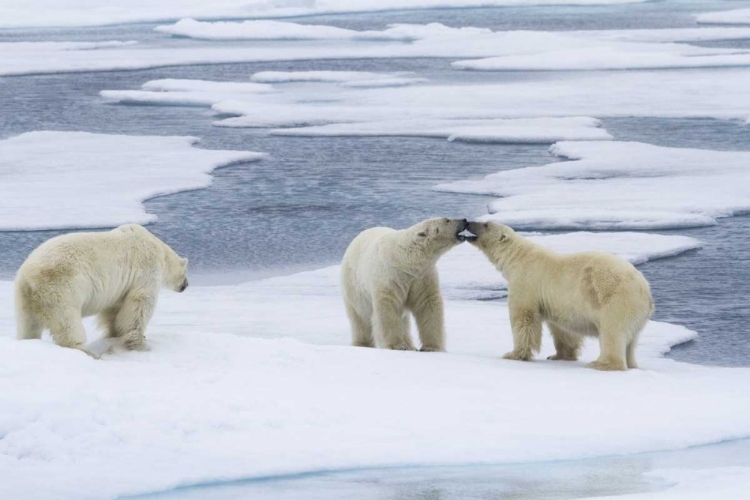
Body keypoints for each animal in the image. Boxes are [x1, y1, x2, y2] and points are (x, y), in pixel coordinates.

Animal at [15, 225, 188, 358]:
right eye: (185, 273)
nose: (186, 285)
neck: (158, 248)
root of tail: (28, 277)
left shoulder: (120, 288)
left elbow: (115, 310)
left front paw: (115, 334)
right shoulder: (146, 271)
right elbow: (139, 305)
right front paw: (140, 344)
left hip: (26, 298)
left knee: (28, 325)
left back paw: (28, 340)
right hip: (60, 289)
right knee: (67, 323)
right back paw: (87, 352)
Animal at [342, 218, 470, 352]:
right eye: (447, 220)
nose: (465, 220)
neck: (406, 260)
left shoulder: (422, 276)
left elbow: (428, 304)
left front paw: (432, 347)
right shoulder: (391, 276)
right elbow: (389, 307)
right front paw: (397, 345)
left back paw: (410, 345)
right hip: (354, 286)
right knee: (361, 317)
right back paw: (362, 343)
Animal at [468, 221, 656, 370]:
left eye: (485, 224)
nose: (468, 222)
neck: (517, 257)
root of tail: (646, 291)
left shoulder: (526, 281)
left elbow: (524, 316)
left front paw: (514, 354)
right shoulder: (554, 300)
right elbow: (562, 328)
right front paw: (559, 355)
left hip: (616, 300)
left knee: (612, 332)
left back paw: (600, 363)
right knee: (631, 342)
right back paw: (631, 364)